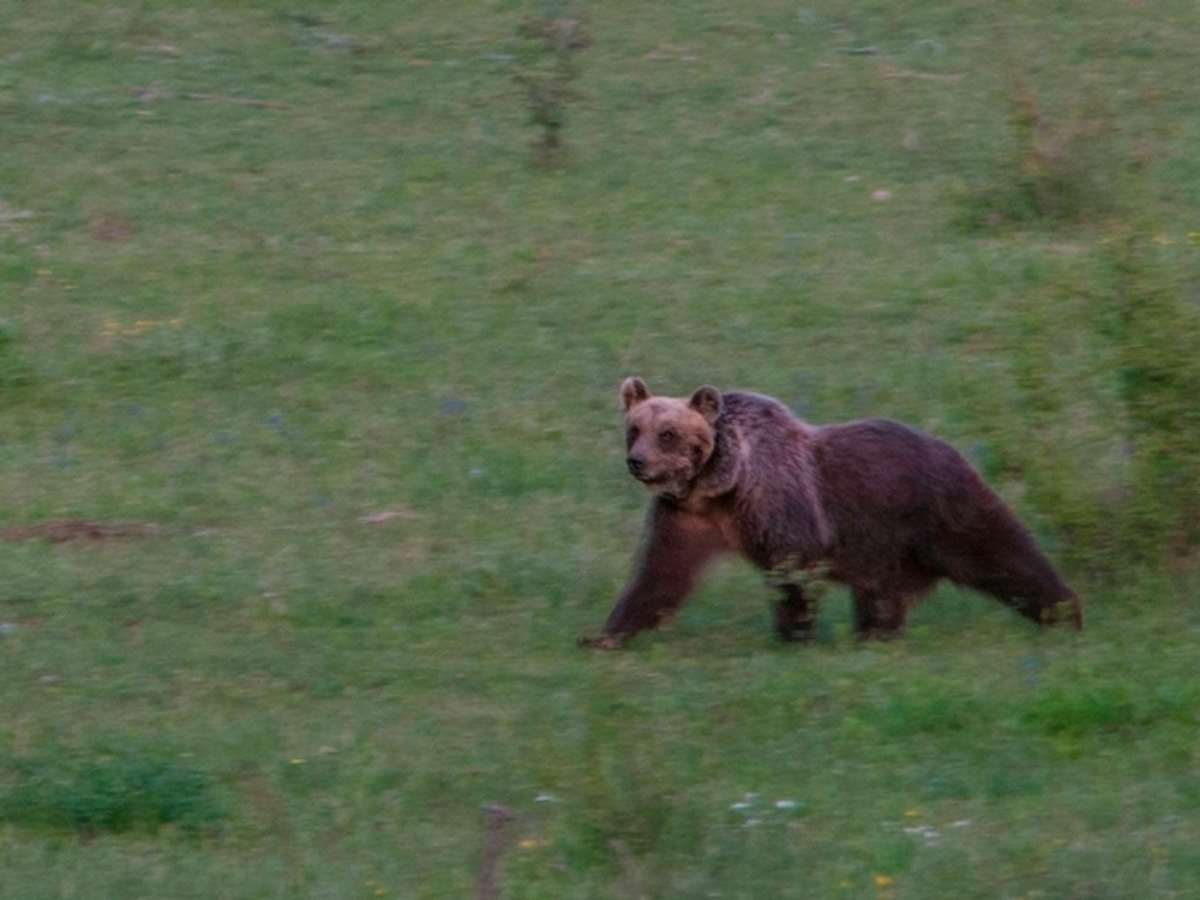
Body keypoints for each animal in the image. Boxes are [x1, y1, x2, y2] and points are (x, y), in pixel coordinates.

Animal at [580, 377, 1082, 649]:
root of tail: (950, 446)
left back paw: (1064, 612)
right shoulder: (685, 517)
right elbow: (658, 576)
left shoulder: (780, 502)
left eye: (667, 433)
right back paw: (876, 635)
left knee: (1002, 553)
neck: (717, 485)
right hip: (883, 548)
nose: (637, 461)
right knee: (880, 595)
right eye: (634, 429)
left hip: (938, 509)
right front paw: (604, 636)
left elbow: (793, 566)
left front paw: (793, 634)